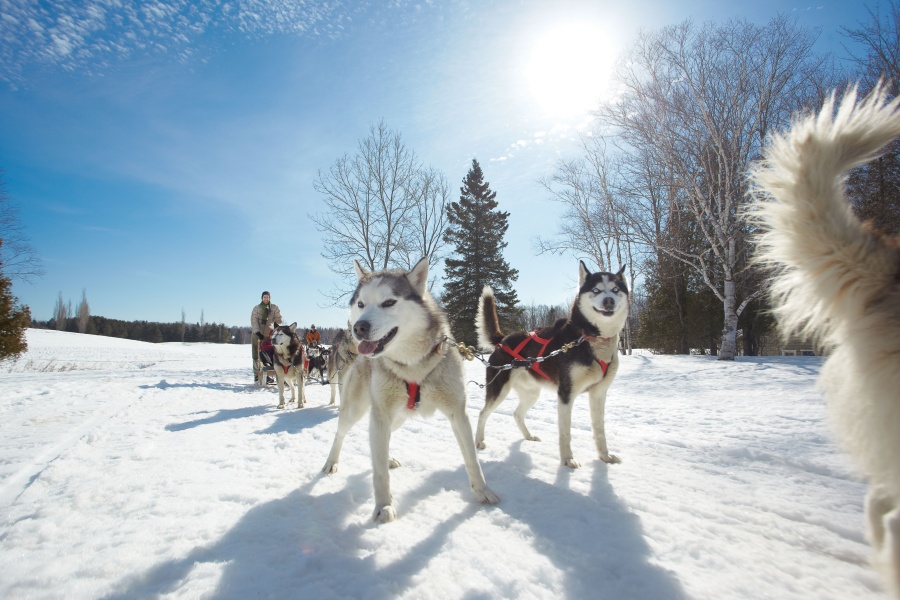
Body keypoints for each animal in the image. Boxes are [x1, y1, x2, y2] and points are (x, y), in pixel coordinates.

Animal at [322, 260, 500, 524]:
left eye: (388, 302)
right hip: (356, 412)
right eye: (361, 304)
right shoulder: (380, 416)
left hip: (397, 419)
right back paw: (331, 462)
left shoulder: (458, 414)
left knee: (384, 441)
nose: (359, 327)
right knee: (341, 435)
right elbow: (379, 473)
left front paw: (483, 492)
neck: (413, 365)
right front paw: (383, 506)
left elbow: (472, 460)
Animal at [474, 262, 628, 468]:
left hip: (532, 393)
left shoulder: (598, 394)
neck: (589, 337)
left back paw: (528, 436)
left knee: (517, 414)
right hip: (499, 390)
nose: (609, 301)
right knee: (483, 413)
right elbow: (565, 432)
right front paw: (568, 459)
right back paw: (479, 441)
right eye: (596, 290)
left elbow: (599, 430)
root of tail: (504, 340)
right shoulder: (565, 395)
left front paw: (605, 456)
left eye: (615, 289)